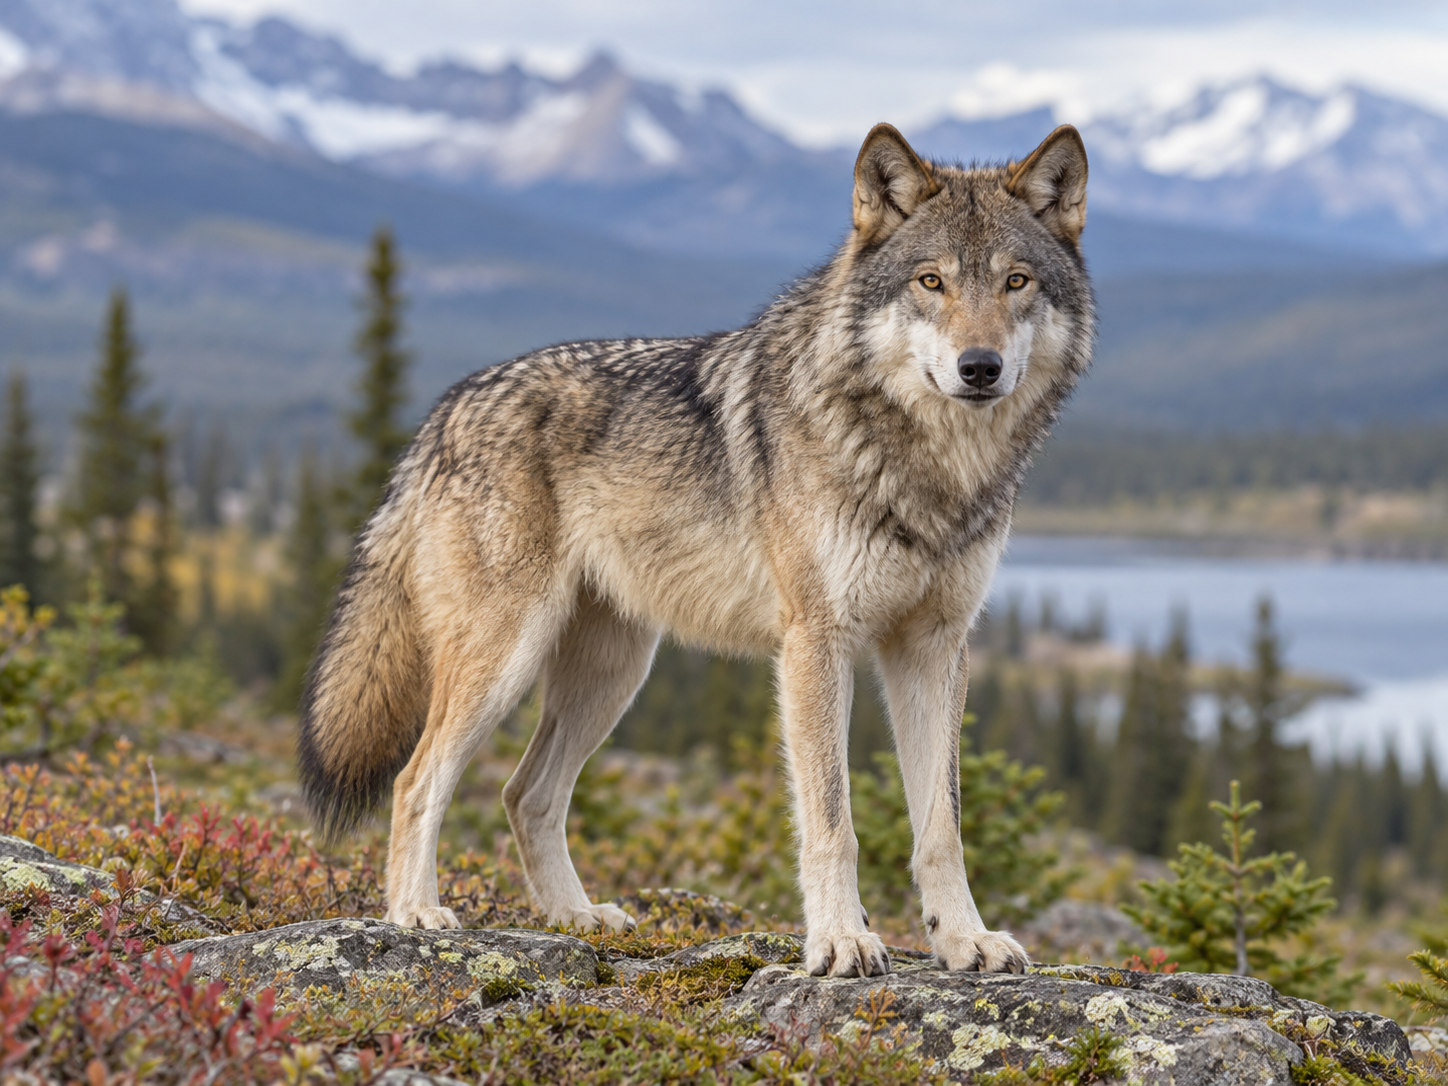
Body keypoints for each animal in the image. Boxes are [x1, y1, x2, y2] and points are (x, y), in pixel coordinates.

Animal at [299, 122, 1093, 978]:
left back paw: (576, 918)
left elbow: (941, 827)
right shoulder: (816, 644)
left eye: (1015, 282)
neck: (930, 467)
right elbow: (833, 822)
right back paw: (416, 913)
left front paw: (963, 939)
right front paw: (841, 940)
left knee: (524, 793)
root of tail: (443, 411)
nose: (980, 368)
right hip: (504, 661)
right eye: (931, 282)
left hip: (612, 677)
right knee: (418, 780)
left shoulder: (934, 648)